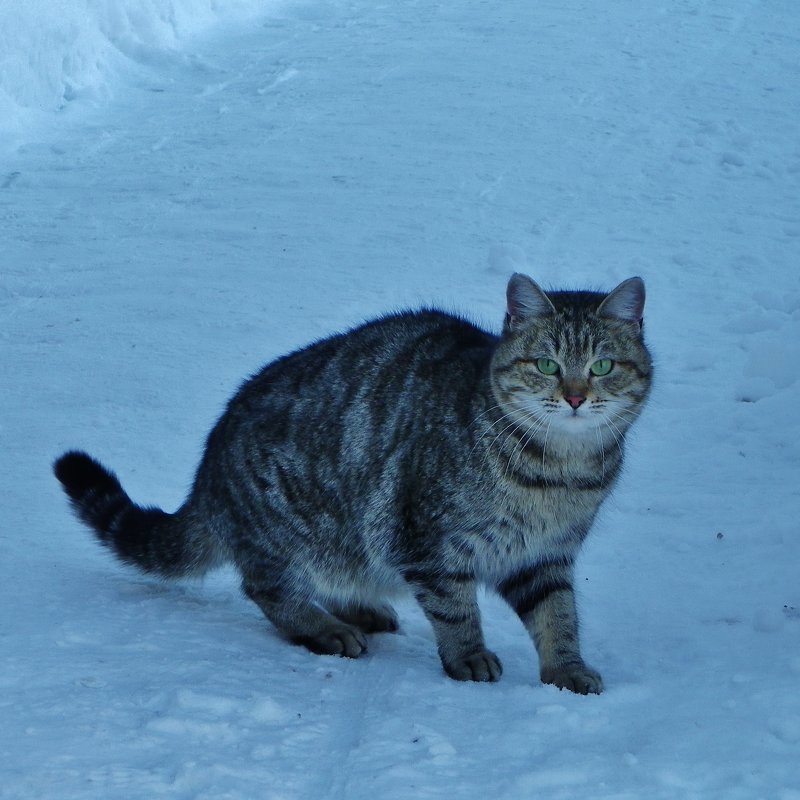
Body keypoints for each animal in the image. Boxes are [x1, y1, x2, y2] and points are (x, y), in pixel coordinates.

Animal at [53, 274, 648, 692]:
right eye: (547, 364)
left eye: (602, 366)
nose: (575, 396)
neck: (559, 473)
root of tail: (207, 475)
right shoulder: (429, 543)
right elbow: (456, 610)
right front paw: (468, 656)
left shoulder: (546, 556)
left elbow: (559, 616)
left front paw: (566, 669)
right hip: (294, 526)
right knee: (266, 587)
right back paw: (324, 627)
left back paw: (358, 607)